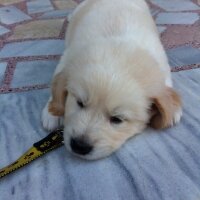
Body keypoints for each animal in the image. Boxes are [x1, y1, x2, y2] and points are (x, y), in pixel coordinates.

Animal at [41, 0, 182, 159]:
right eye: (80, 103)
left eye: (117, 119)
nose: (79, 146)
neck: (118, 48)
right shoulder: (68, 56)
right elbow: (57, 80)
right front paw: (51, 113)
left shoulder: (161, 63)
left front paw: (173, 110)